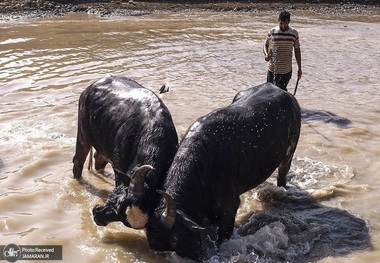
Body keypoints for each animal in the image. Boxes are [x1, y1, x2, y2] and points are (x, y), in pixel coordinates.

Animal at [72, 75, 178, 228]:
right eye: (119, 202)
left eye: (123, 219)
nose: (97, 216)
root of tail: (89, 88)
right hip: (83, 135)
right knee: (78, 162)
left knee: (98, 160)